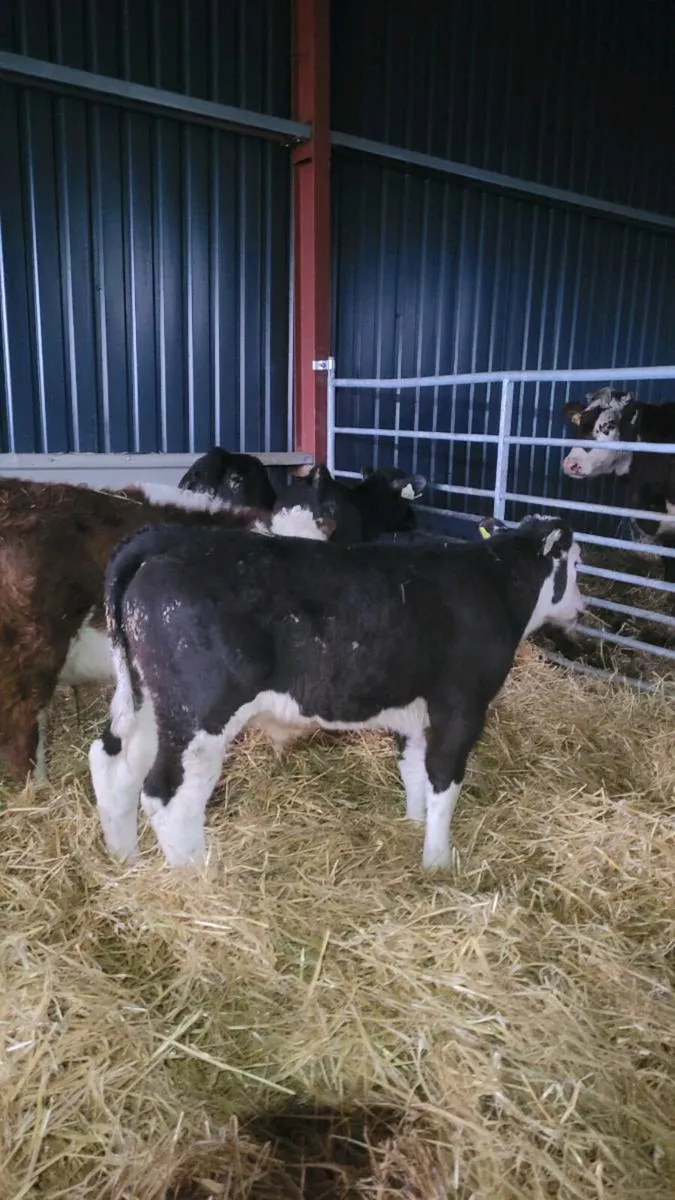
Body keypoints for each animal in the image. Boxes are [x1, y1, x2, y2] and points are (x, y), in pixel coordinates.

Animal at [88, 512, 583, 871]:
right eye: (576, 563)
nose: (581, 607)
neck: (494, 581)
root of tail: (166, 537)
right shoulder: (461, 707)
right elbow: (443, 782)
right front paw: (438, 862)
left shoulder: (413, 706)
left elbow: (413, 771)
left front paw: (412, 826)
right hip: (200, 713)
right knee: (168, 795)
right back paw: (196, 877)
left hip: (149, 702)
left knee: (114, 764)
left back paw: (125, 860)